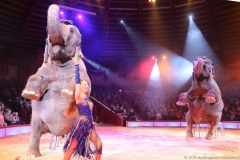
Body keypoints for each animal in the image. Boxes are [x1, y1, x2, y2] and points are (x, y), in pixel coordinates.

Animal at [21, 4, 91, 158]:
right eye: (47, 32)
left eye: (71, 30)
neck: (61, 62)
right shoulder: (45, 68)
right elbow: (35, 76)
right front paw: (29, 94)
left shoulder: (83, 70)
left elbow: (85, 84)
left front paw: (68, 92)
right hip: (37, 119)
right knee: (35, 129)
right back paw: (32, 155)